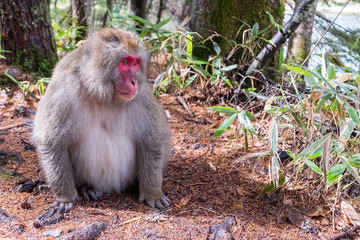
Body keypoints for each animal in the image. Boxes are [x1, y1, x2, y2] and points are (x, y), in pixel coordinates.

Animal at [32, 27, 172, 212]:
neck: (102, 94)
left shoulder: (142, 96)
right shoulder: (63, 90)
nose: (134, 82)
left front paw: (152, 193)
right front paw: (65, 196)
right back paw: (87, 187)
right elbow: (52, 142)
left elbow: (152, 140)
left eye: (135, 63)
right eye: (125, 62)